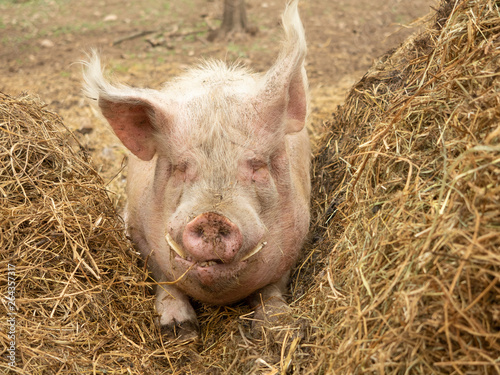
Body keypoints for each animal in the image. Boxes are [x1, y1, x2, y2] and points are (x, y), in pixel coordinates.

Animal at [84, 0, 310, 340]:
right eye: (179, 168)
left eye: (257, 165)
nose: (212, 217)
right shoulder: (135, 227)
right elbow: (163, 279)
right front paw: (180, 331)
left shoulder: (300, 230)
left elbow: (272, 287)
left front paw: (279, 328)